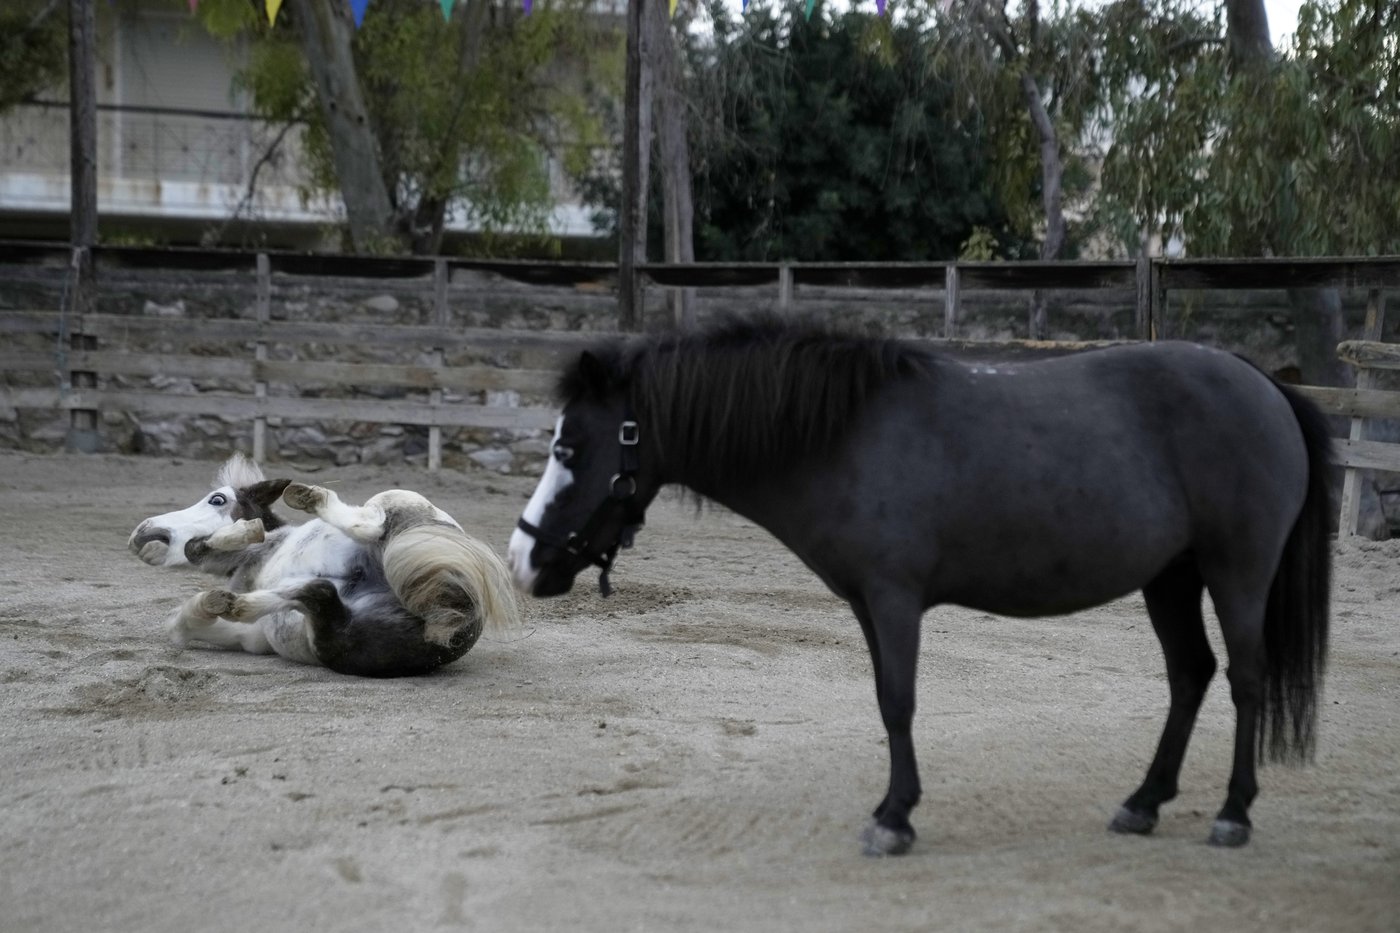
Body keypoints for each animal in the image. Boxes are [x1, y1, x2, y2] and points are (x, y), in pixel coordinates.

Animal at [128, 453, 521, 677]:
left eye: (217, 499)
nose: (143, 531)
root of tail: (446, 611)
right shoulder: (248, 638)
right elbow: (183, 625)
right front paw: (211, 603)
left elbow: (198, 547)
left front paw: (242, 531)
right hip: (332, 634)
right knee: (320, 591)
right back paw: (242, 603)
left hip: (402, 506)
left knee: (369, 526)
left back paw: (309, 497)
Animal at [508, 315, 1332, 856]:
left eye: (570, 447)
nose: (522, 559)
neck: (843, 434)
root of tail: (1263, 384)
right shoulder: (868, 606)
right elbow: (885, 701)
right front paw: (891, 805)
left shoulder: (896, 598)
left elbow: (899, 702)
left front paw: (895, 820)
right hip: (1170, 579)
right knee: (1190, 675)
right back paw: (1143, 802)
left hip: (1236, 572)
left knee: (1245, 679)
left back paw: (1234, 813)